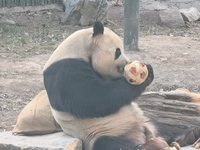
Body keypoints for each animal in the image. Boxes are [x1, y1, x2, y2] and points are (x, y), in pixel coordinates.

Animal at [42, 21, 198, 150]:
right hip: (101, 132)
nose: (127, 63)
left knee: (165, 128)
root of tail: (144, 135)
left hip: (145, 120)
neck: (79, 49)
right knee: (110, 144)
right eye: (118, 51)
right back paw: (143, 147)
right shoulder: (66, 71)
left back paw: (189, 134)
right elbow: (94, 99)